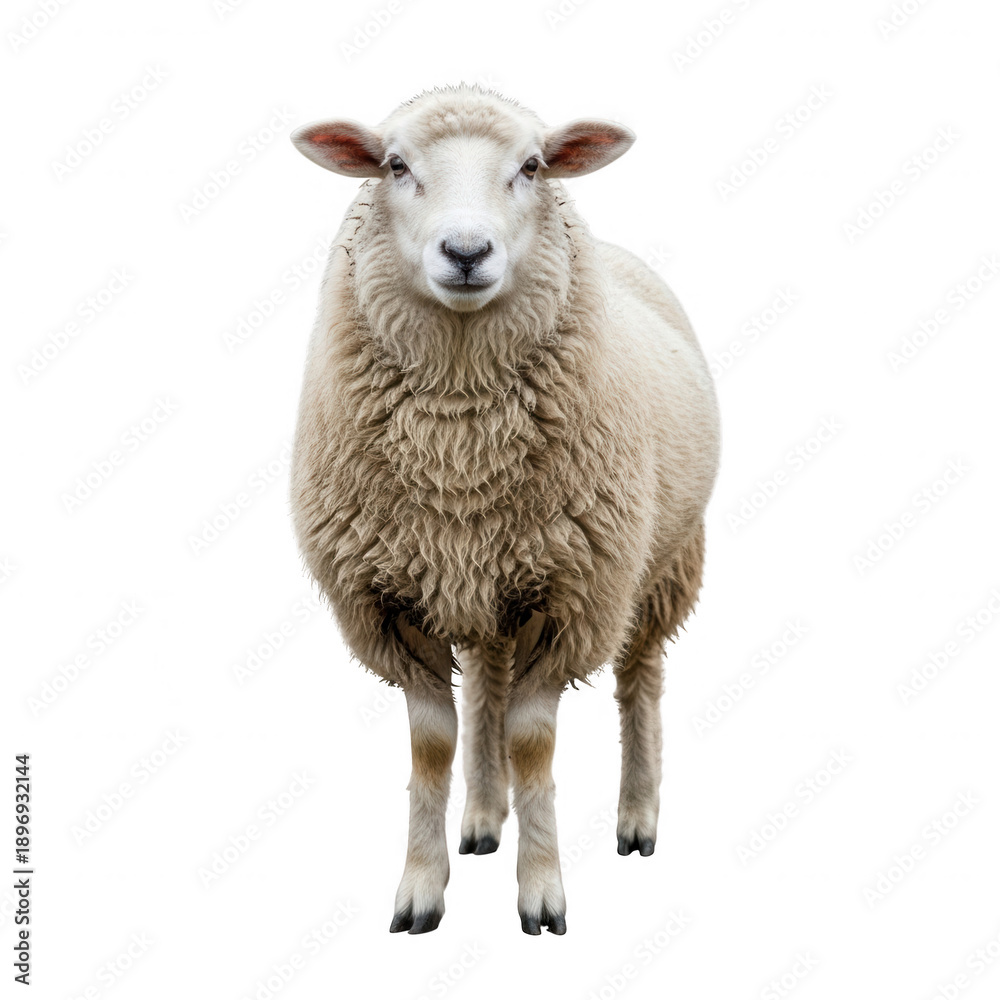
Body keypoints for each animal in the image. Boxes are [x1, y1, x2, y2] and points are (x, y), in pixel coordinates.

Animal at [288, 84, 720, 936]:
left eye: (531, 166)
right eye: (395, 165)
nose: (465, 251)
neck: (460, 446)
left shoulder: (576, 595)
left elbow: (531, 742)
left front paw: (543, 894)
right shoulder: (388, 599)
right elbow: (434, 744)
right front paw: (420, 890)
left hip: (659, 564)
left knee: (639, 680)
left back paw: (637, 817)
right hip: (487, 580)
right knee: (487, 680)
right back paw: (485, 818)